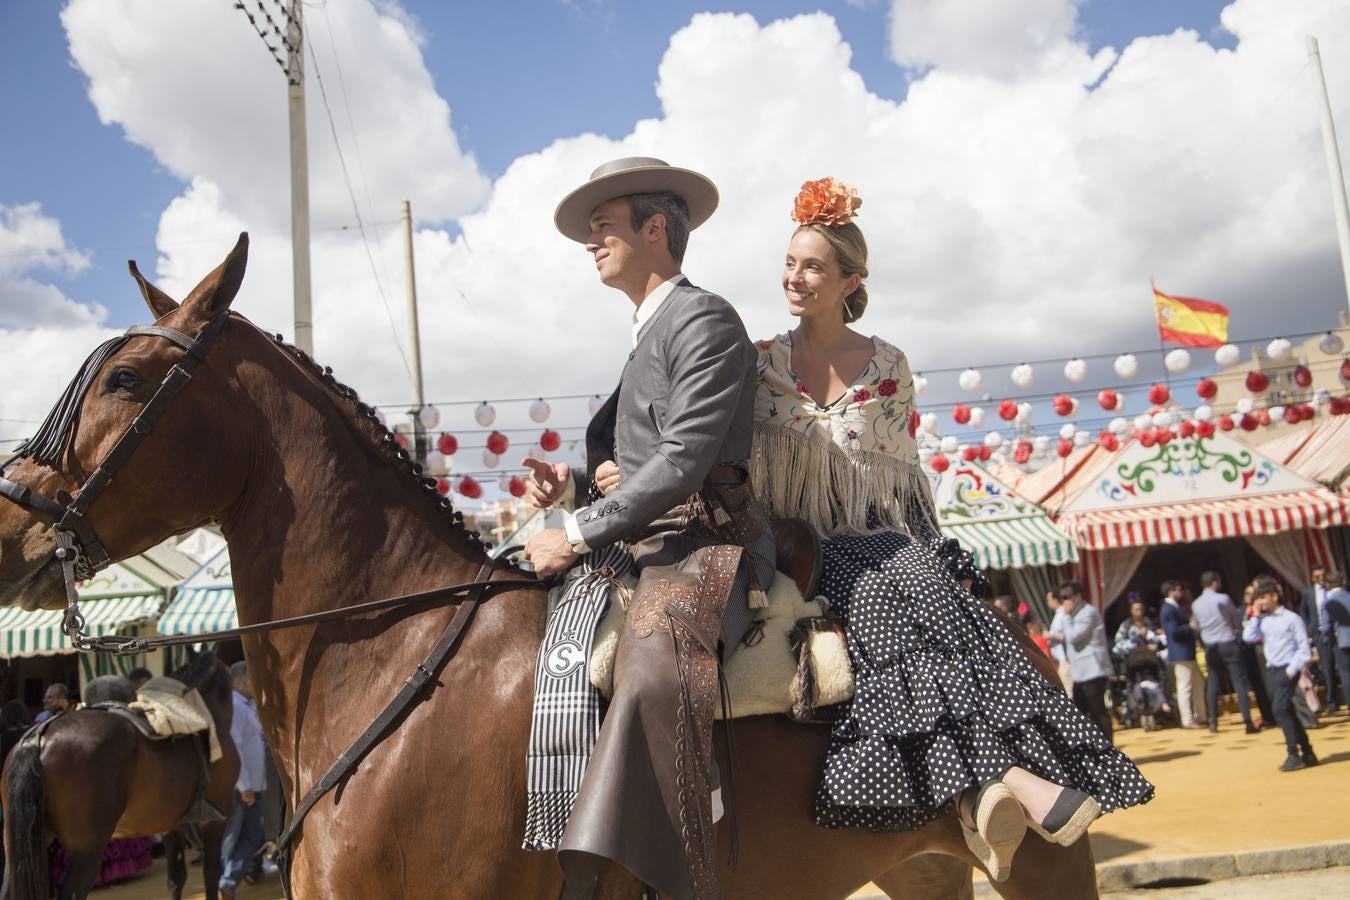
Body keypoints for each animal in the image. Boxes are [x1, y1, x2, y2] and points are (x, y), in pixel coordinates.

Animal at [0, 655, 237, 900]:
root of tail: (39, 738)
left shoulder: (172, 824)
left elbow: (176, 878)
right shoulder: (217, 816)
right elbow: (212, 873)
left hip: (20, 846)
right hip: (86, 851)